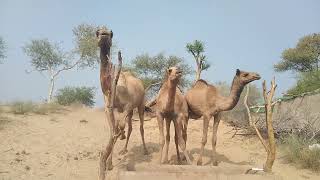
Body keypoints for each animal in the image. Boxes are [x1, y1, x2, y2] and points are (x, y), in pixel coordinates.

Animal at [96, 27, 149, 169]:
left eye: (111, 33)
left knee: (140, 127)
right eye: (97, 32)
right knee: (130, 127)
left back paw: (145, 150)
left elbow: (120, 125)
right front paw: (109, 164)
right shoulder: (109, 108)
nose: (104, 34)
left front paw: (121, 135)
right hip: (128, 111)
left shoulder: (127, 105)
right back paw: (124, 148)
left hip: (140, 105)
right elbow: (113, 130)